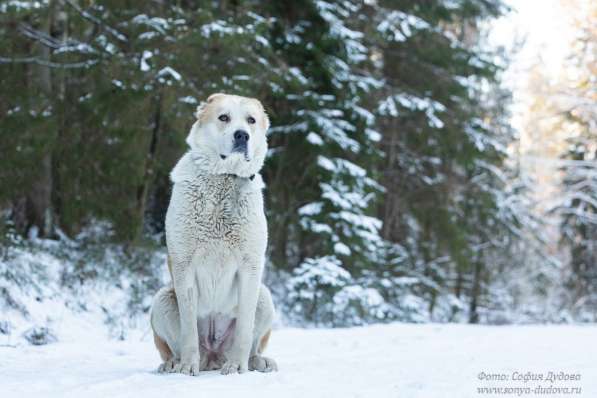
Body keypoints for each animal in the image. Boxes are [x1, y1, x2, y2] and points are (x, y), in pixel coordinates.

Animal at [151, 93, 278, 376]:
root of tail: (213, 356)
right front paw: (187, 366)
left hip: (264, 296)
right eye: (224, 117)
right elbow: (188, 329)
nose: (242, 135)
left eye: (251, 120)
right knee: (174, 348)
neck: (224, 179)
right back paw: (174, 363)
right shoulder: (184, 265)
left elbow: (244, 328)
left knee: (253, 343)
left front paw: (238, 366)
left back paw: (257, 361)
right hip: (162, 299)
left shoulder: (251, 267)